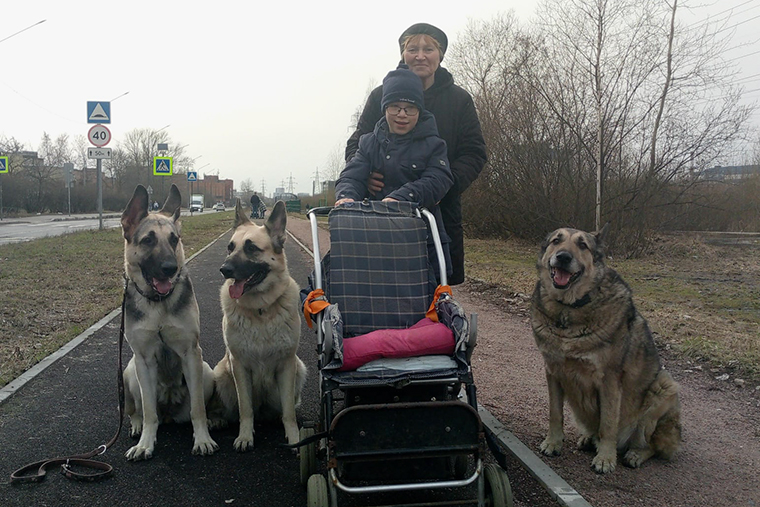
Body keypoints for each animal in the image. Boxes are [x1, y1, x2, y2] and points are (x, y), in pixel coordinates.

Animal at [120, 185, 218, 462]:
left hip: (206, 371)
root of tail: (170, 413)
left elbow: (198, 409)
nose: (170, 268)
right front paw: (145, 444)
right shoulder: (143, 360)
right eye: (148, 240)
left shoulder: (190, 354)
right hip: (130, 372)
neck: (158, 303)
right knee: (139, 410)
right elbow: (148, 411)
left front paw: (203, 439)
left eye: (174, 240)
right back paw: (137, 426)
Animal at [211, 199, 306, 452]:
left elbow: (288, 412)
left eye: (251, 248)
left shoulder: (287, 365)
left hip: (299, 368)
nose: (224, 269)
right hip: (221, 373)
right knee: (233, 410)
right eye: (230, 247)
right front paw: (245, 436)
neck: (261, 309)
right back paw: (217, 419)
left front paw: (294, 437)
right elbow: (245, 409)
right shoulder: (239, 366)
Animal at [528, 224, 684, 474]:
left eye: (582, 245)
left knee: (651, 445)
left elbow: (608, 423)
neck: (569, 309)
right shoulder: (552, 371)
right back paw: (588, 439)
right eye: (556, 241)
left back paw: (634, 454)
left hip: (663, 388)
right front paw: (553, 443)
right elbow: (555, 413)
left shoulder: (609, 380)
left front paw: (606, 458)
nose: (563, 257)